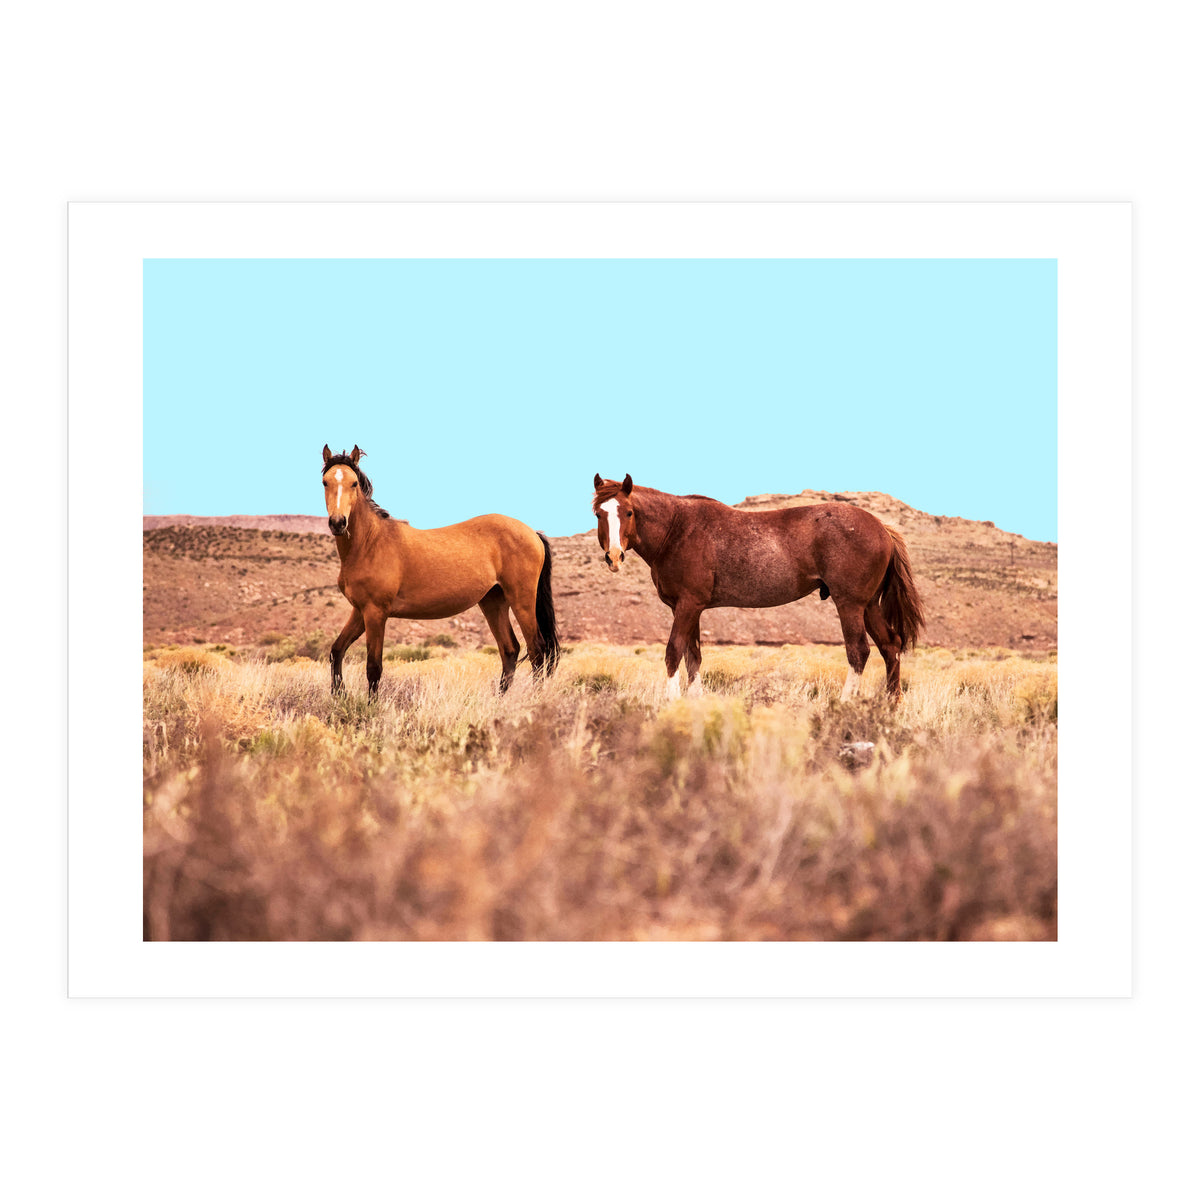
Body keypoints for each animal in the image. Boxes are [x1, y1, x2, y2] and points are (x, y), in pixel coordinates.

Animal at [320, 444, 559, 697]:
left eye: (354, 483)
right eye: (325, 482)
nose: (338, 523)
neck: (370, 543)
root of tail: (532, 532)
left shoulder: (375, 612)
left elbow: (373, 667)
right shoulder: (360, 611)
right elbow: (336, 651)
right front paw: (339, 694)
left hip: (522, 601)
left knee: (537, 651)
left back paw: (534, 698)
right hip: (493, 602)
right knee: (510, 649)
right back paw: (499, 700)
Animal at [592, 473, 925, 701]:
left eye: (628, 512)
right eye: (599, 514)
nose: (614, 556)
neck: (677, 529)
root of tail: (882, 528)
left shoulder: (687, 605)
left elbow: (674, 652)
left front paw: (672, 702)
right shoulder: (690, 609)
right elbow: (693, 657)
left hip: (850, 605)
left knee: (859, 652)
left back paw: (845, 704)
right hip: (868, 606)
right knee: (891, 646)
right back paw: (890, 706)